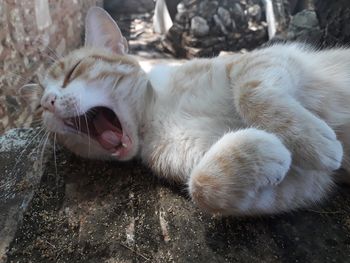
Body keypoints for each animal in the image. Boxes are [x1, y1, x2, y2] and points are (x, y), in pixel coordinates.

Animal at [30, 6, 350, 217]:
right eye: (38, 108)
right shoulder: (314, 184)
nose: (47, 101)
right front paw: (266, 149)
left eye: (72, 71)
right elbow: (202, 186)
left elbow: (250, 93)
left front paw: (316, 143)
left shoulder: (268, 58)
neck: (155, 115)